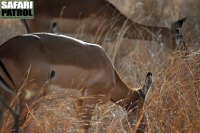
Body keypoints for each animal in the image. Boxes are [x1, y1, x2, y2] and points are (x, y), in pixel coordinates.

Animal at [0, 33, 153, 132]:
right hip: (28, 98)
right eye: (142, 106)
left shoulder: (77, 99)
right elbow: (85, 127)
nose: (144, 127)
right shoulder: (90, 98)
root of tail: (5, 49)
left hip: (9, 95)